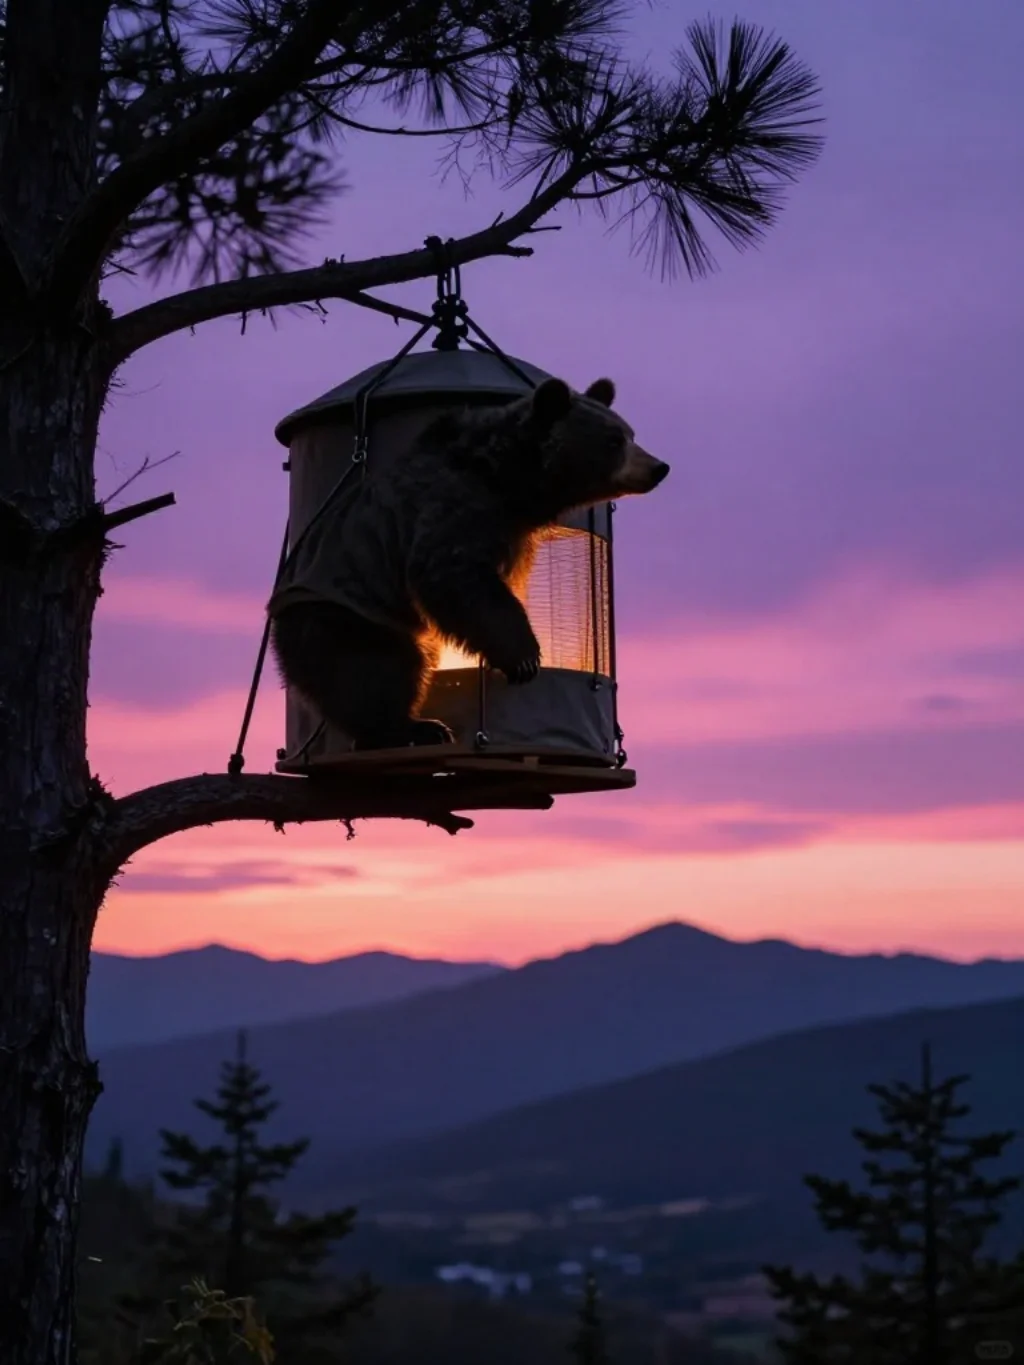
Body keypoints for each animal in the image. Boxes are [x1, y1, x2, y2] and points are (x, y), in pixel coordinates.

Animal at [266, 375, 669, 751]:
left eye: (631, 434)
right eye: (614, 441)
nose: (659, 467)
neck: (507, 479)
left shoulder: (514, 529)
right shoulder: (455, 505)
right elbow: (454, 575)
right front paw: (524, 657)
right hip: (340, 617)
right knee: (374, 672)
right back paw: (413, 728)